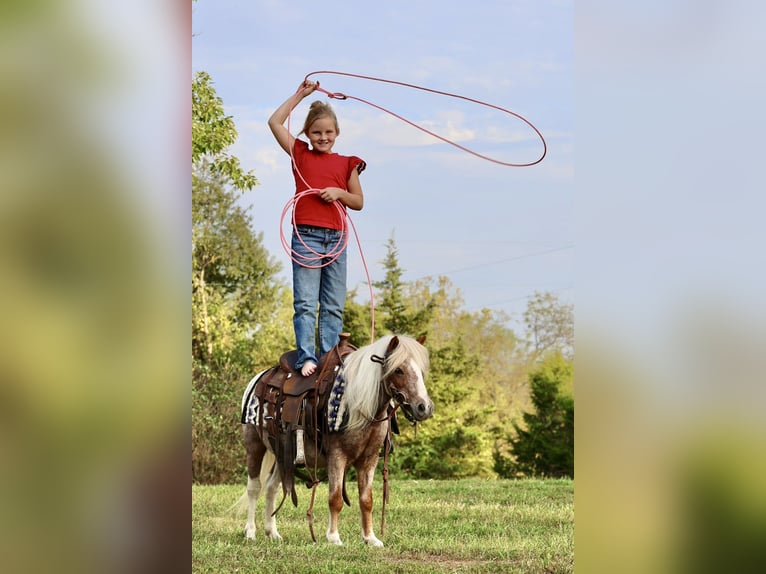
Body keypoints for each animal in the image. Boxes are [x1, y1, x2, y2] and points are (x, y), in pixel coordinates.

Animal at [237, 334, 433, 547]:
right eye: (398, 370)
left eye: (421, 370)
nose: (424, 407)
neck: (360, 405)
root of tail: (259, 379)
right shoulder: (337, 456)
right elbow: (335, 498)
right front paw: (333, 537)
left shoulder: (369, 459)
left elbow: (367, 500)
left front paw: (370, 538)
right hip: (255, 446)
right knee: (254, 487)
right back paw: (250, 532)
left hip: (283, 456)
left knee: (272, 487)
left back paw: (272, 532)